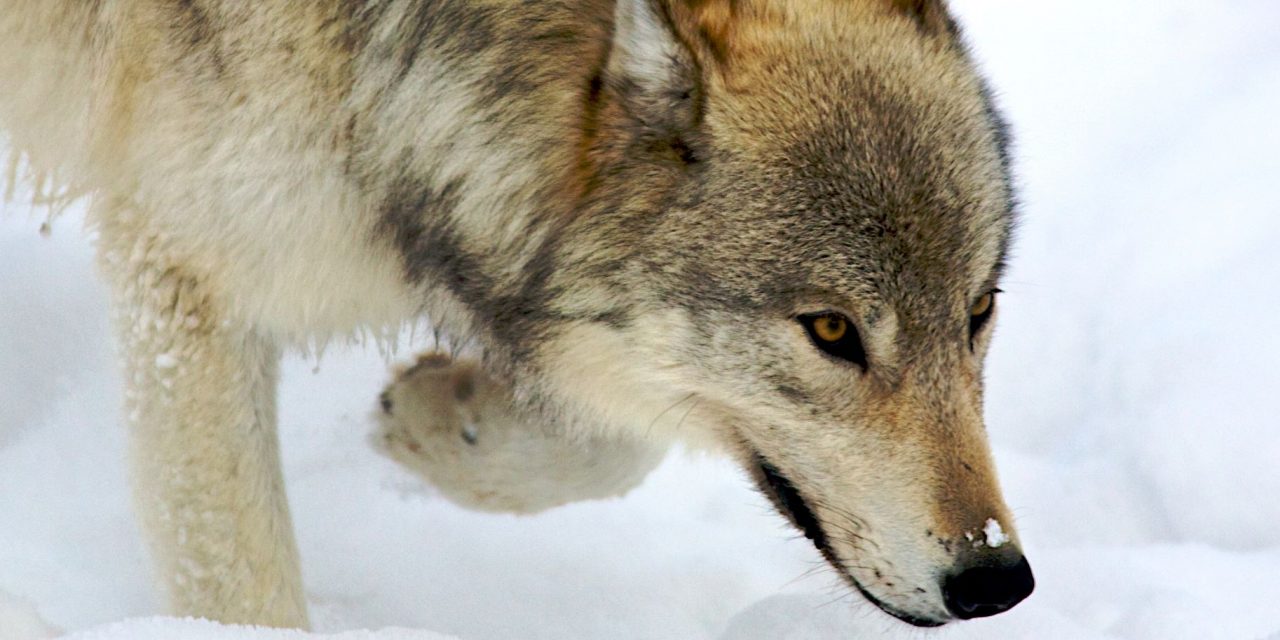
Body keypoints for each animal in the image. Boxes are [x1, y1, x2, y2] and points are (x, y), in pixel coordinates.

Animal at [0, 0, 1033, 630]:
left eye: (978, 312)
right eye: (831, 331)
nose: (996, 580)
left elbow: (617, 444)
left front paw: (437, 422)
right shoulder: (189, 276)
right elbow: (243, 585)